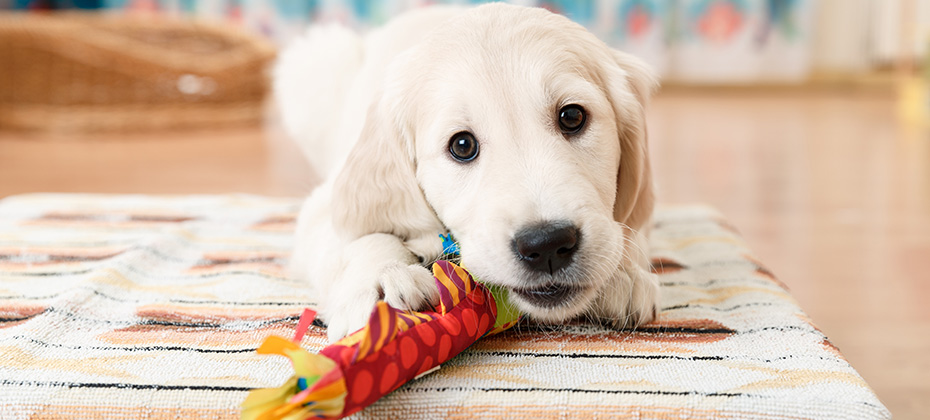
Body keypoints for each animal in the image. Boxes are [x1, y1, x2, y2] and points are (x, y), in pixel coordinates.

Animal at [276, 3, 660, 342]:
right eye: (462, 145)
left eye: (572, 116)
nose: (547, 244)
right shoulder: (323, 205)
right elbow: (361, 235)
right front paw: (382, 280)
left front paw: (623, 273)